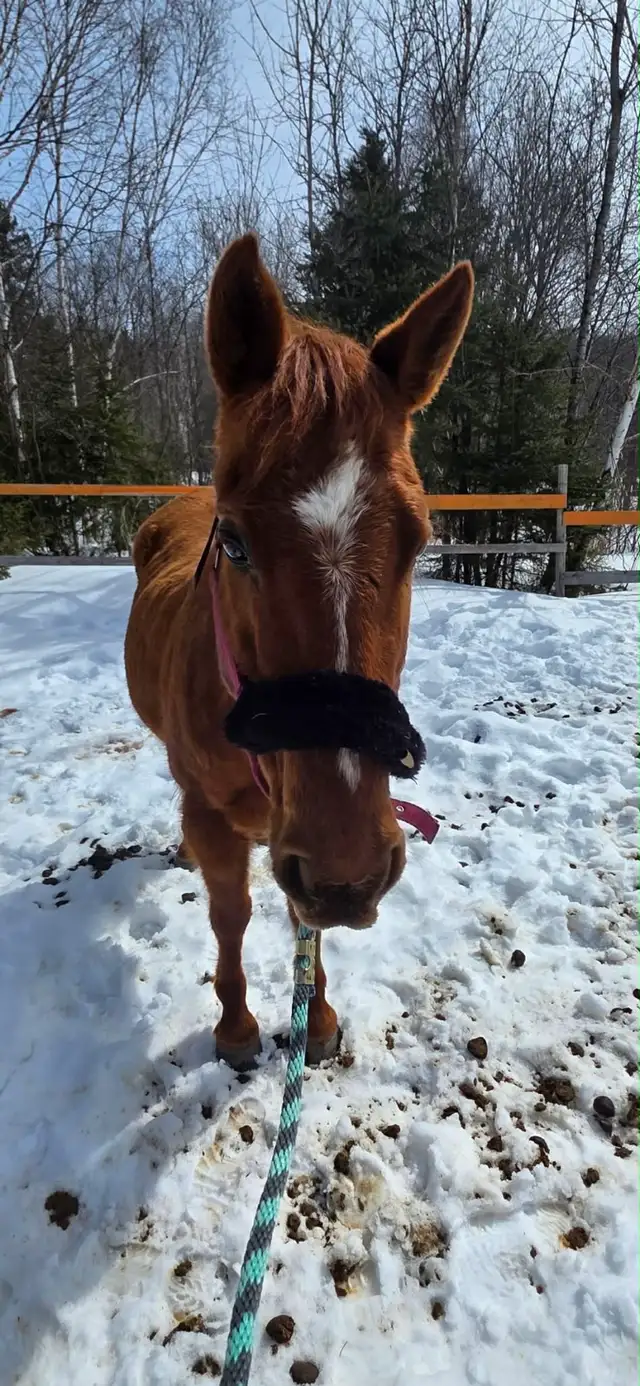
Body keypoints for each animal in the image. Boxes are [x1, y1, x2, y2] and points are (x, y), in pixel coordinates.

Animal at [124, 232, 474, 1069]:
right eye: (236, 544)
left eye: (419, 542)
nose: (351, 875)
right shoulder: (223, 823)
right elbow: (231, 913)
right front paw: (236, 1026)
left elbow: (301, 919)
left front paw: (314, 1019)